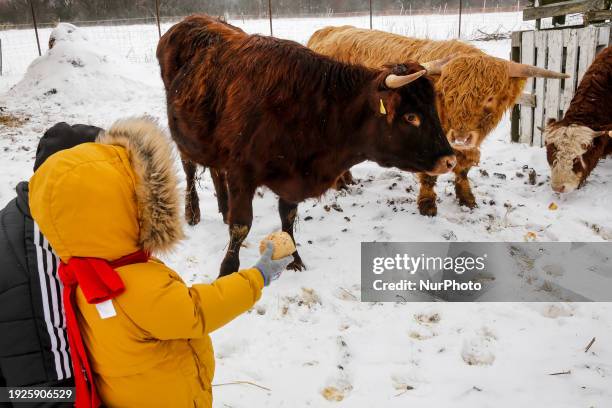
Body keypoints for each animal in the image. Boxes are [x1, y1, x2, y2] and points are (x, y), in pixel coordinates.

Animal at [158, 15, 454, 278]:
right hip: (185, 139)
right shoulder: (242, 172)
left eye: (433, 109)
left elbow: (287, 217)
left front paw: (294, 259)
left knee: (216, 170)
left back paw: (222, 206)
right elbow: (241, 226)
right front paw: (228, 269)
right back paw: (193, 212)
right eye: (411, 116)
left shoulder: (293, 174)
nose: (450, 160)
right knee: (189, 170)